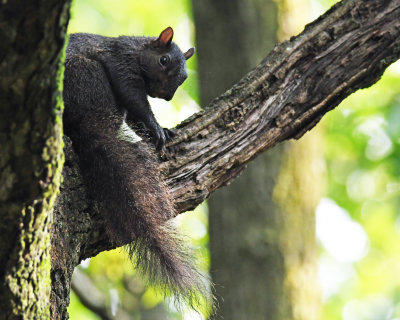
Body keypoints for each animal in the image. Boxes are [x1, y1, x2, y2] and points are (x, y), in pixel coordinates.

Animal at [63, 28, 208, 310]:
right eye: (163, 60)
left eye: (184, 77)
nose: (167, 96)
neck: (138, 50)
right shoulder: (122, 64)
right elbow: (136, 101)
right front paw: (157, 127)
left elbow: (135, 117)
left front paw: (163, 131)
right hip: (86, 76)